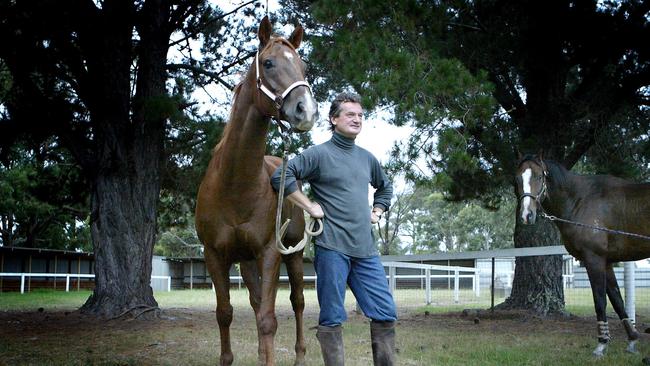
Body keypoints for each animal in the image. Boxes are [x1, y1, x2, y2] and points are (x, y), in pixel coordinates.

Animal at [194, 17, 318, 366]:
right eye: (269, 63)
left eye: (303, 66)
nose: (306, 111)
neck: (234, 186)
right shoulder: (215, 255)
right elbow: (225, 313)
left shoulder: (270, 253)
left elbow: (268, 319)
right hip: (246, 260)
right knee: (254, 299)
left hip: (293, 254)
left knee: (297, 301)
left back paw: (299, 355)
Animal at [512, 154, 644, 358]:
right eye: (517, 179)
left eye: (539, 177)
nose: (527, 215)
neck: (581, 199)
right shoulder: (606, 262)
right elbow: (617, 300)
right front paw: (632, 340)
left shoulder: (594, 259)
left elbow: (600, 301)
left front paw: (602, 344)